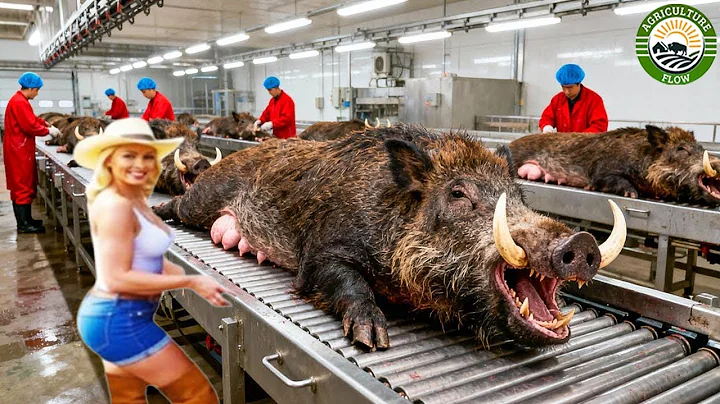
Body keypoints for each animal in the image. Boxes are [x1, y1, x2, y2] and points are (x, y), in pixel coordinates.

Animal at [153, 125, 625, 349]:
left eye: (518, 195)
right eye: (458, 195)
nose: (580, 243)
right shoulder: (320, 253)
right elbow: (347, 282)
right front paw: (372, 339)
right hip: (203, 198)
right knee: (179, 206)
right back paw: (158, 214)